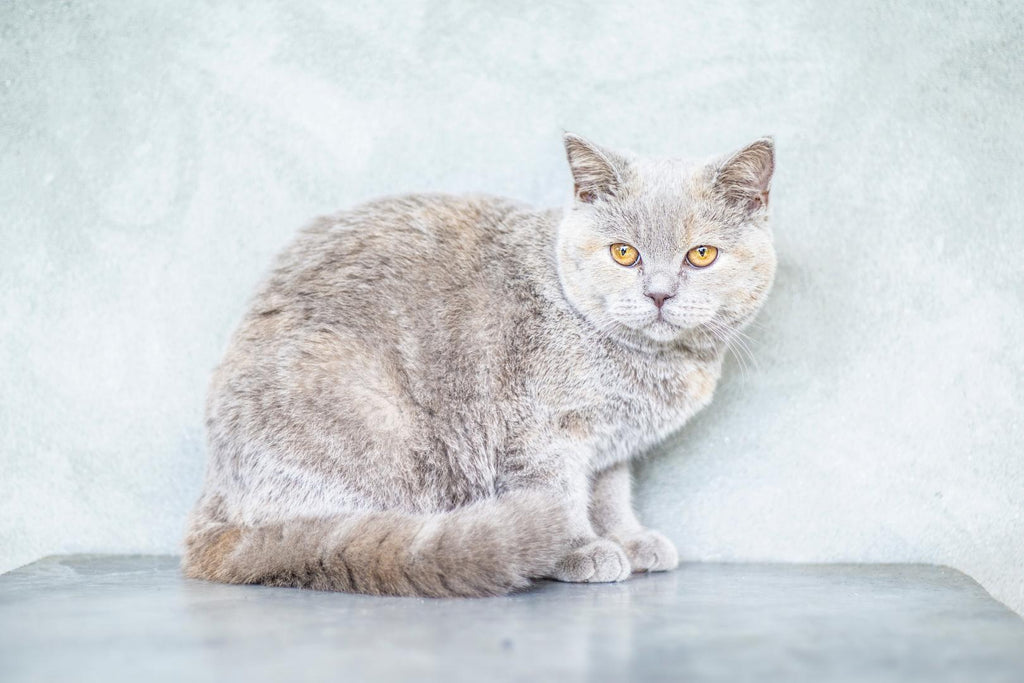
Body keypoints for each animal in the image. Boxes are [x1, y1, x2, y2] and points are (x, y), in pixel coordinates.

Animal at [184, 131, 774, 593]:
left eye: (701, 255)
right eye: (624, 253)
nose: (658, 294)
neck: (650, 365)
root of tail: (213, 506)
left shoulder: (609, 446)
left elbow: (610, 496)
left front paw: (629, 539)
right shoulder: (539, 428)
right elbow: (559, 492)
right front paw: (580, 548)